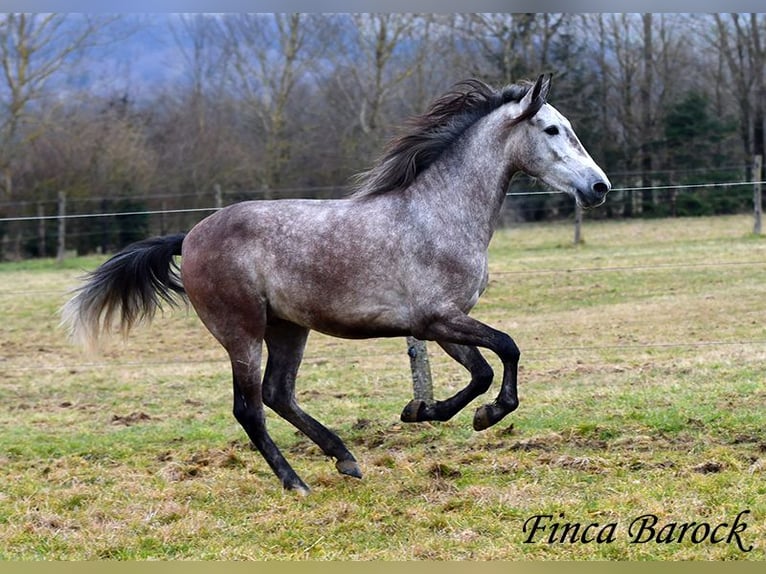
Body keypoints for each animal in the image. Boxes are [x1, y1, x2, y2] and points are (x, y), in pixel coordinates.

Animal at [61, 74, 612, 492]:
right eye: (552, 129)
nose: (599, 187)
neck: (437, 213)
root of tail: (191, 236)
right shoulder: (440, 319)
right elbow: (508, 350)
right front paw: (481, 414)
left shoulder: (440, 325)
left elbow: (481, 370)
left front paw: (425, 410)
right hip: (242, 334)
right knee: (250, 409)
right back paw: (296, 482)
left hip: (288, 328)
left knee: (278, 394)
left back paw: (344, 457)